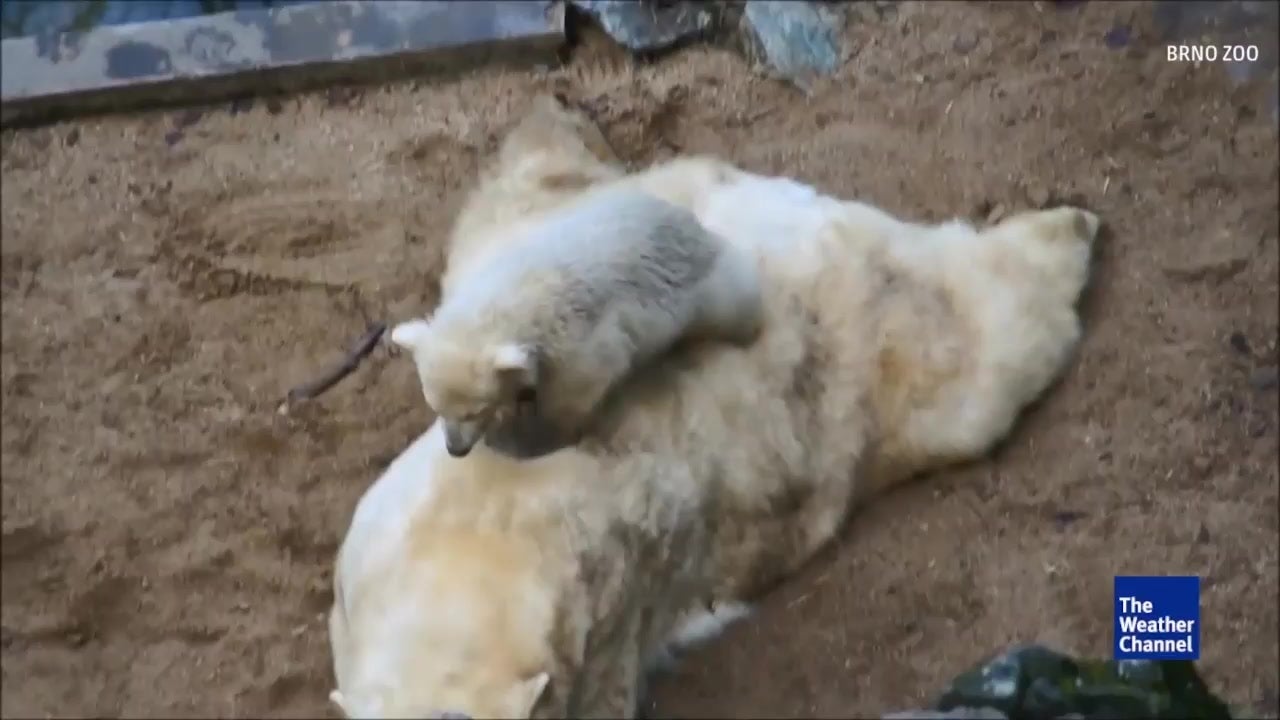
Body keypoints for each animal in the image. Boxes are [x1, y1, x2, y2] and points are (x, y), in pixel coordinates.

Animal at [389, 183, 764, 459]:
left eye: (475, 411)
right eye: (436, 407)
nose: (456, 449)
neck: (506, 299)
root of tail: (686, 219)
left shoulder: (579, 341)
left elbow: (576, 392)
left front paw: (538, 436)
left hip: (706, 287)